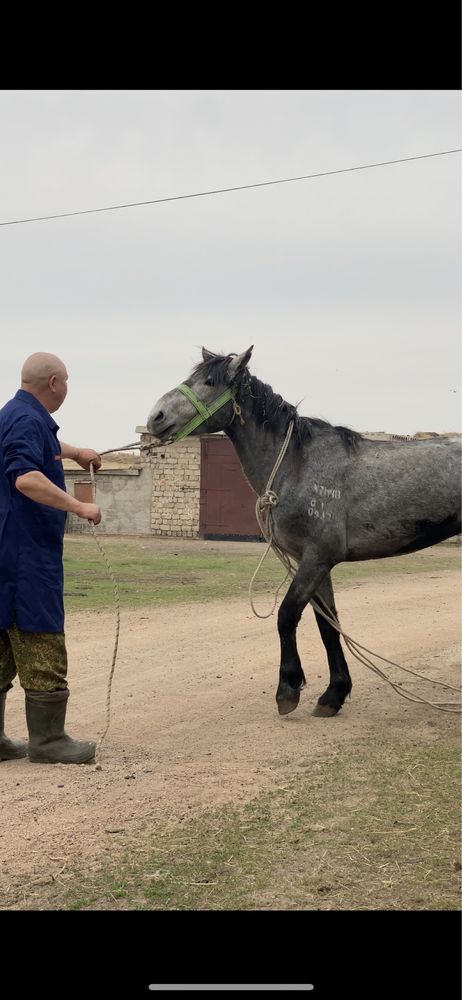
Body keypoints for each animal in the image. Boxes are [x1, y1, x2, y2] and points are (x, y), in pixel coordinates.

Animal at [147, 348, 458, 716]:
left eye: (209, 381)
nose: (156, 417)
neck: (297, 464)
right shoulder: (314, 564)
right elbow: (328, 625)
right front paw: (334, 693)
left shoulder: (316, 559)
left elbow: (287, 615)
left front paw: (288, 688)